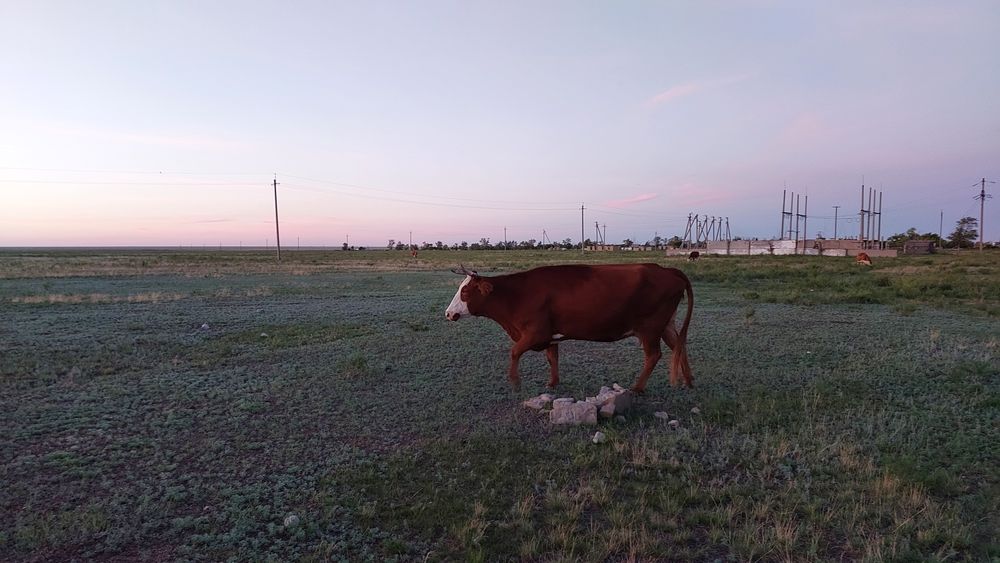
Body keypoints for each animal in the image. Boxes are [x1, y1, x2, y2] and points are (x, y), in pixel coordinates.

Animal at [445, 263, 694, 393]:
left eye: (465, 291)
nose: (448, 313)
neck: (517, 295)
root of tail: (666, 269)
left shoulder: (535, 333)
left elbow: (514, 352)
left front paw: (515, 381)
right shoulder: (549, 335)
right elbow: (552, 358)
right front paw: (553, 383)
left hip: (650, 329)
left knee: (654, 355)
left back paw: (637, 388)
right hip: (666, 325)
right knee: (679, 346)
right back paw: (689, 380)